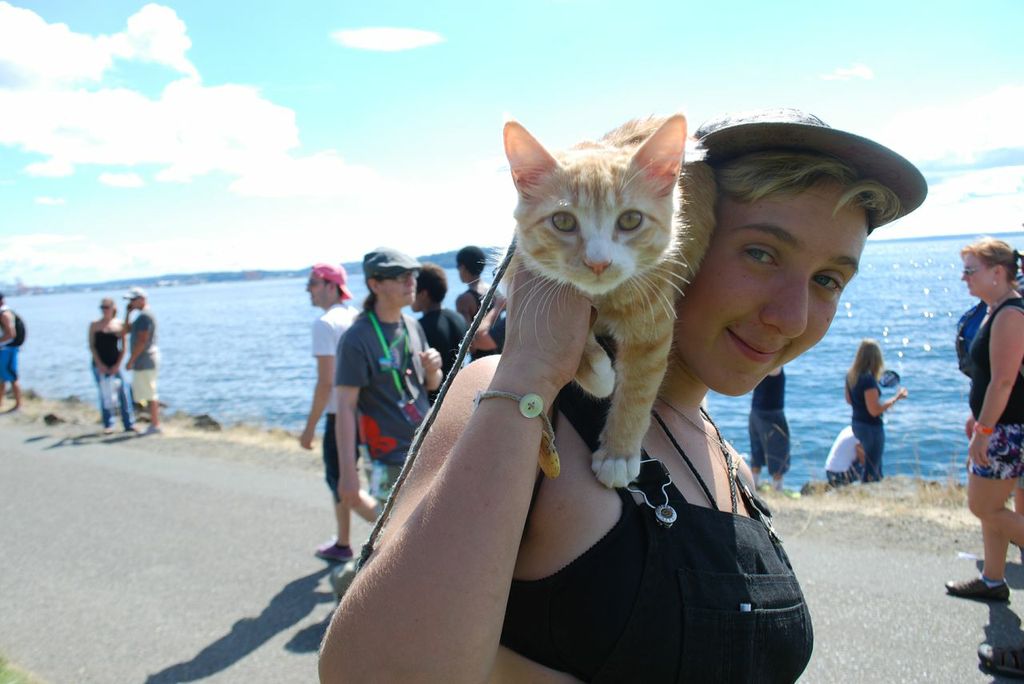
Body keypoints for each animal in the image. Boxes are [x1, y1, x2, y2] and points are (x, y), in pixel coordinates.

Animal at [503, 114, 716, 488]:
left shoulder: (655, 323)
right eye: (563, 221)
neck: (603, 298)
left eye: (631, 219)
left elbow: (639, 388)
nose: (598, 262)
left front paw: (619, 455)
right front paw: (599, 371)